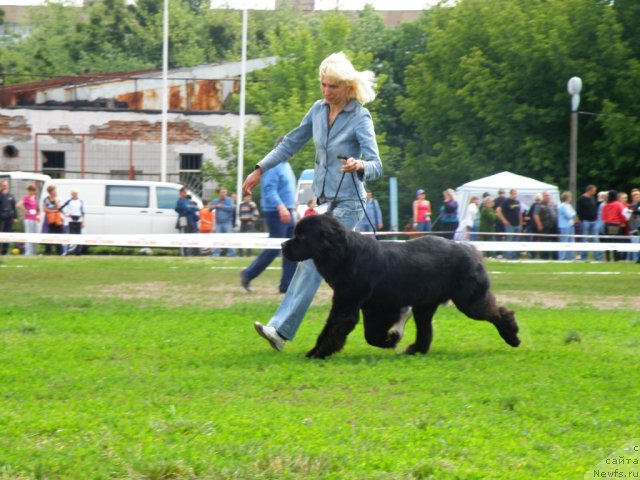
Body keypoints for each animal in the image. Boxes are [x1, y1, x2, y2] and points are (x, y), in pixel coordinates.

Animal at [284, 216, 520, 358]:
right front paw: (391, 339)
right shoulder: (373, 307)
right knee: (425, 328)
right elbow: (370, 334)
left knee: (498, 312)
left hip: (469, 301)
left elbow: (334, 328)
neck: (344, 253)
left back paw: (512, 337)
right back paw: (415, 350)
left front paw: (316, 352)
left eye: (301, 236)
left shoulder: (348, 303)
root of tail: (470, 249)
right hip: (425, 304)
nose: (283, 245)